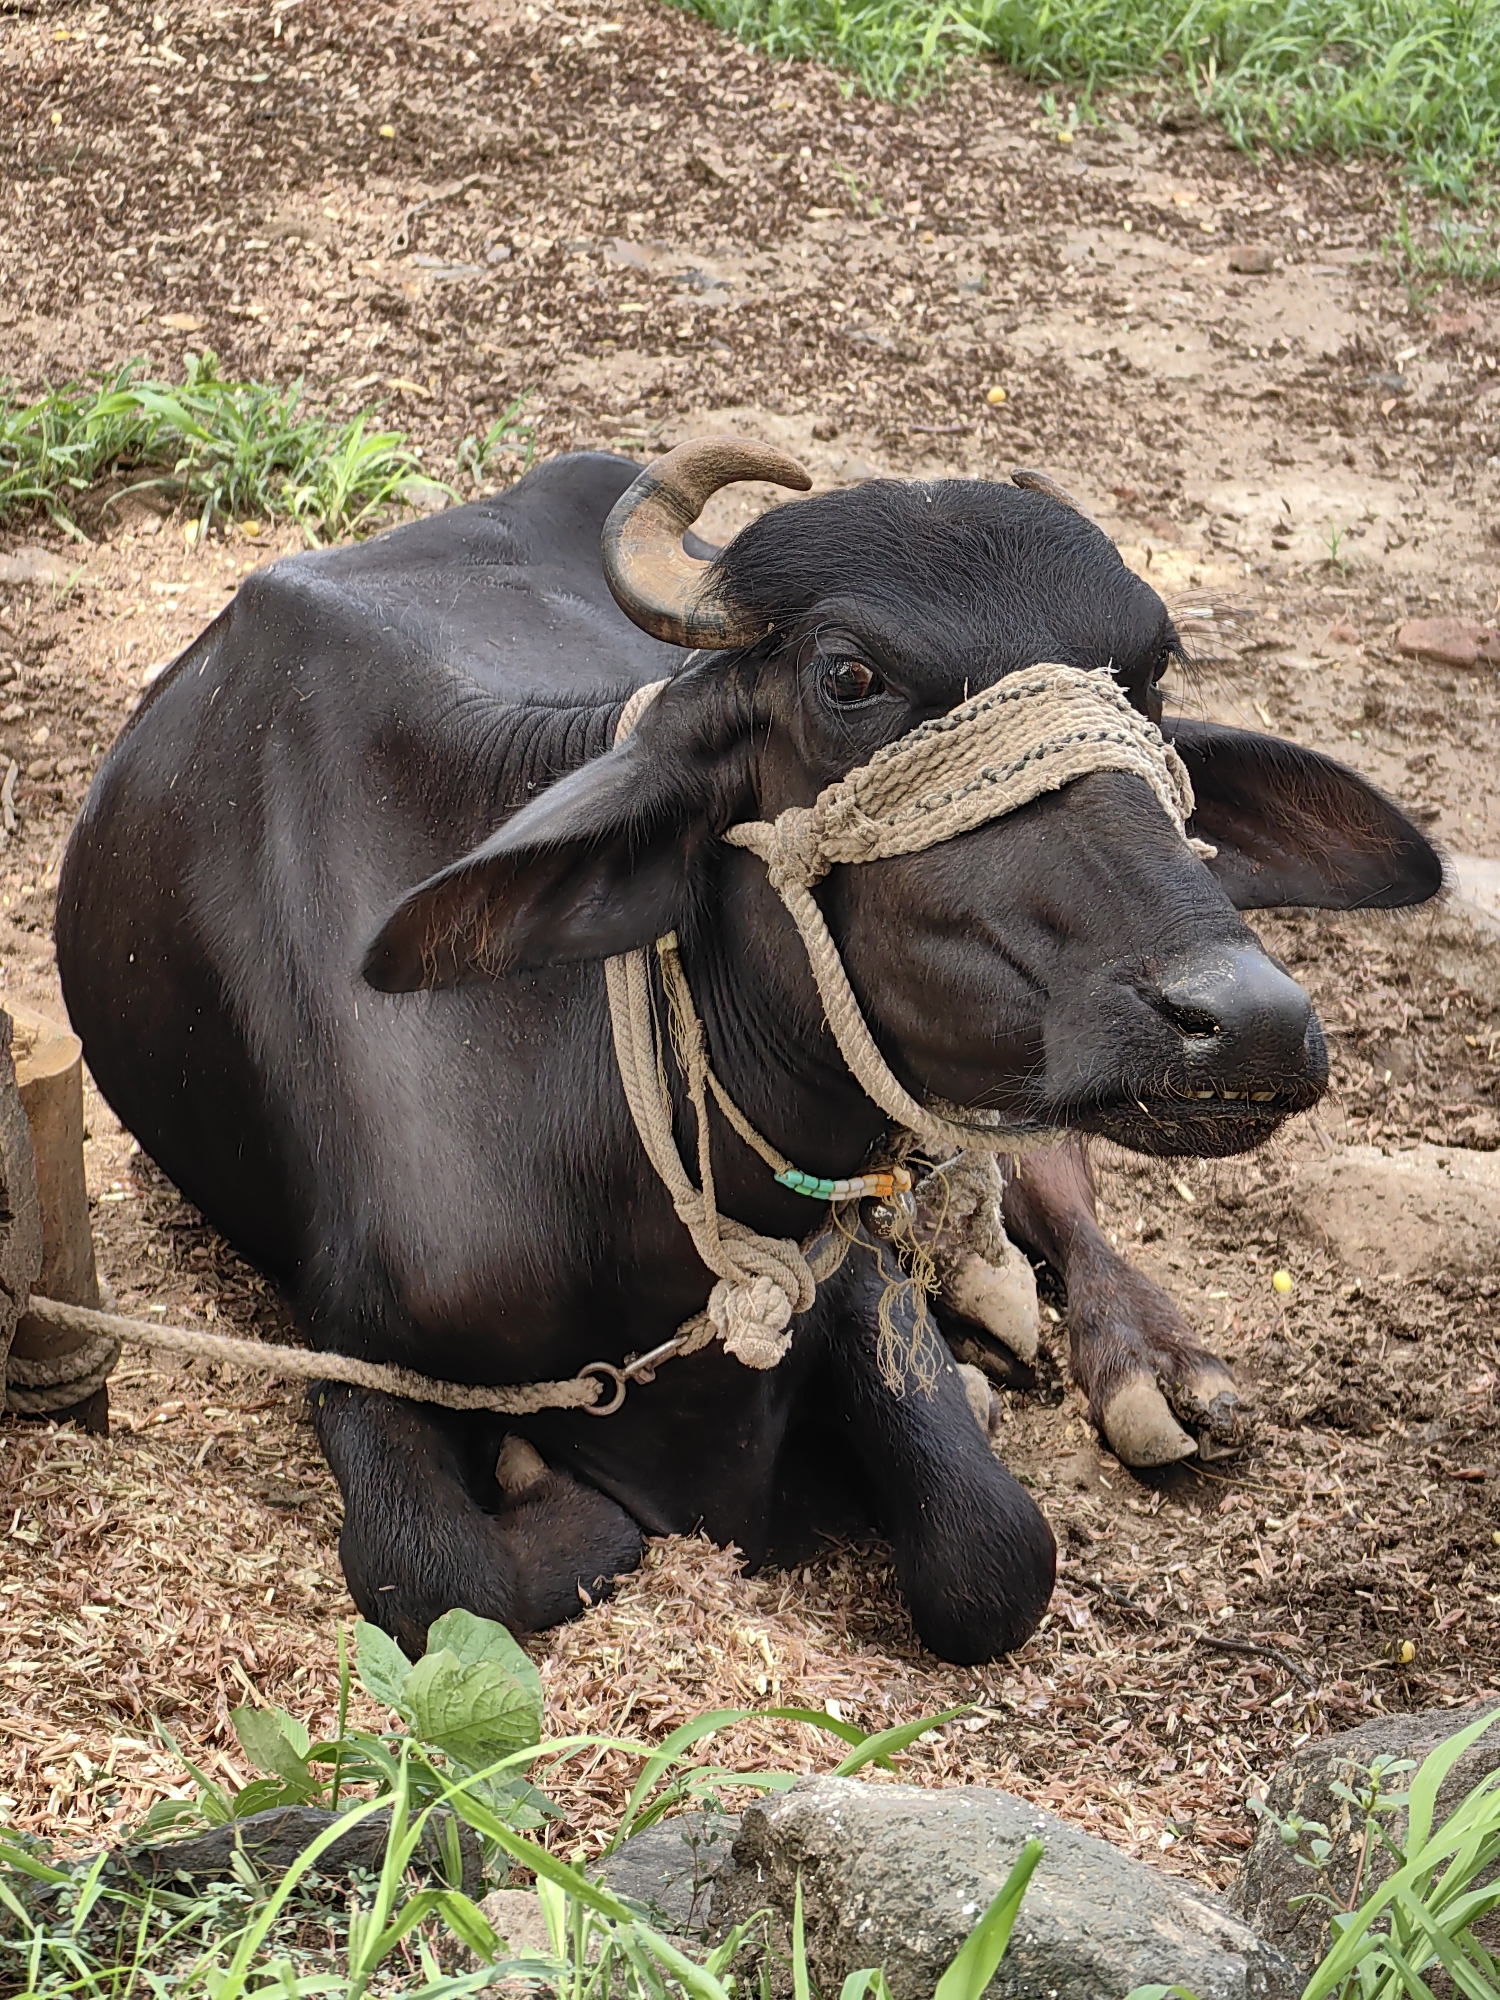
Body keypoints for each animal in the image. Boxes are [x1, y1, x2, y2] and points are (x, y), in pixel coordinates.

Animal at [56, 440, 1439, 1663]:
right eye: (849, 675)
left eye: (1148, 678)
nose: (1247, 1016)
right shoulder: (354, 1350)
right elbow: (438, 1570)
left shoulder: (854, 1269)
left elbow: (995, 1550)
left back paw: (1145, 1357)